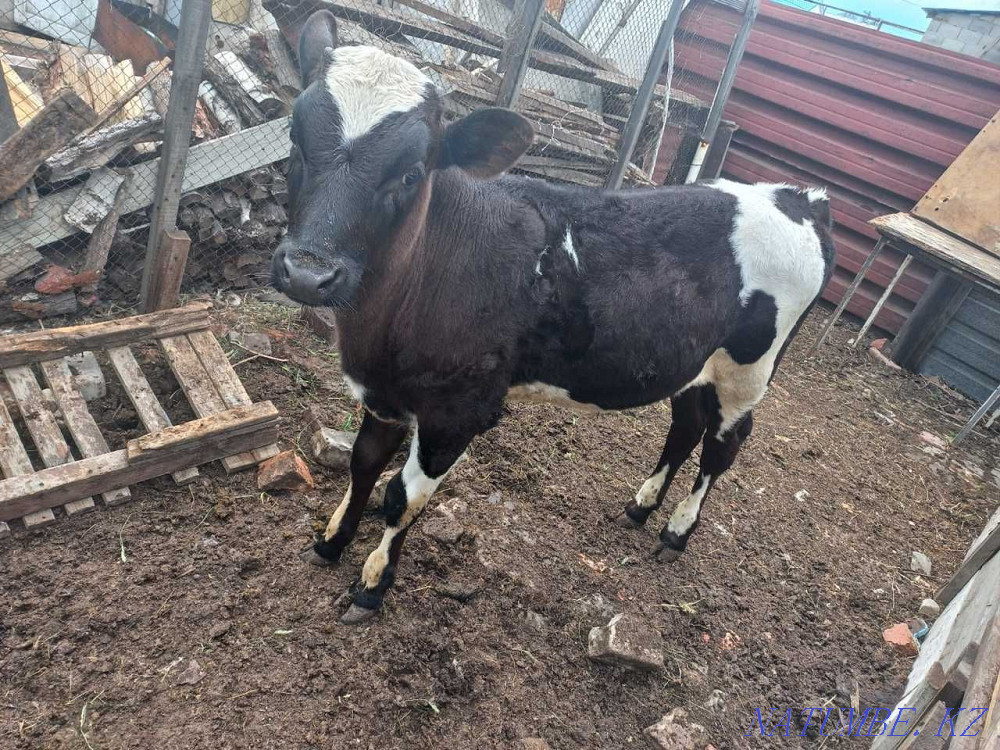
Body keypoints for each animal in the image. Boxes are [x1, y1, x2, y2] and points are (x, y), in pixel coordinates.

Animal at [271, 10, 836, 624]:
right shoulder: (384, 388)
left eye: (412, 173)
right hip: (695, 361)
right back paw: (642, 505)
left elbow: (402, 497)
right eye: (294, 139)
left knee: (723, 444)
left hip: (749, 369)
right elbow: (363, 463)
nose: (307, 273)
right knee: (686, 422)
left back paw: (678, 530)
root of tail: (796, 197)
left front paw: (373, 584)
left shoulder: (460, 408)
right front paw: (332, 541)